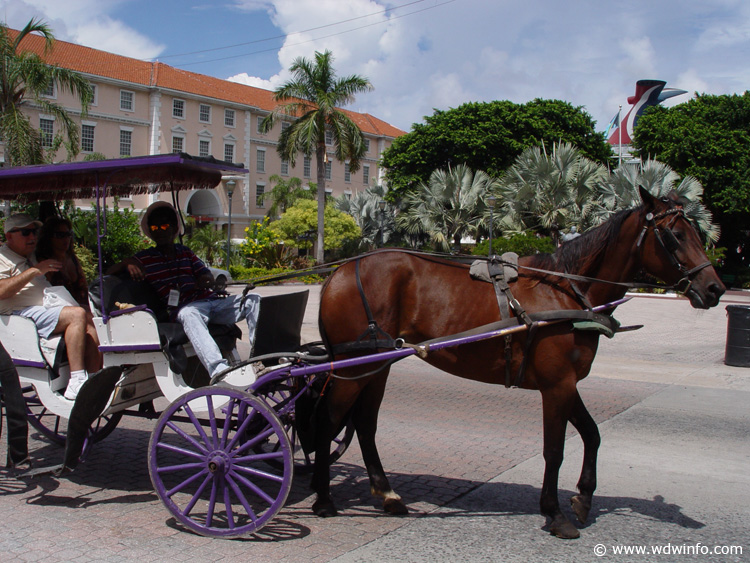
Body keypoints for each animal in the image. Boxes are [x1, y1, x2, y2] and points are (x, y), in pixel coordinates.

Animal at [314, 188, 724, 536]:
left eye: (694, 231)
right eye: (675, 235)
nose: (715, 289)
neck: (566, 291)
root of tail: (338, 272)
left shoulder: (566, 382)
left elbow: (591, 434)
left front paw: (583, 497)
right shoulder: (557, 385)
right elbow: (554, 450)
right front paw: (554, 513)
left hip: (377, 364)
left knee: (364, 424)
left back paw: (386, 494)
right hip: (354, 367)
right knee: (327, 421)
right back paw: (322, 498)